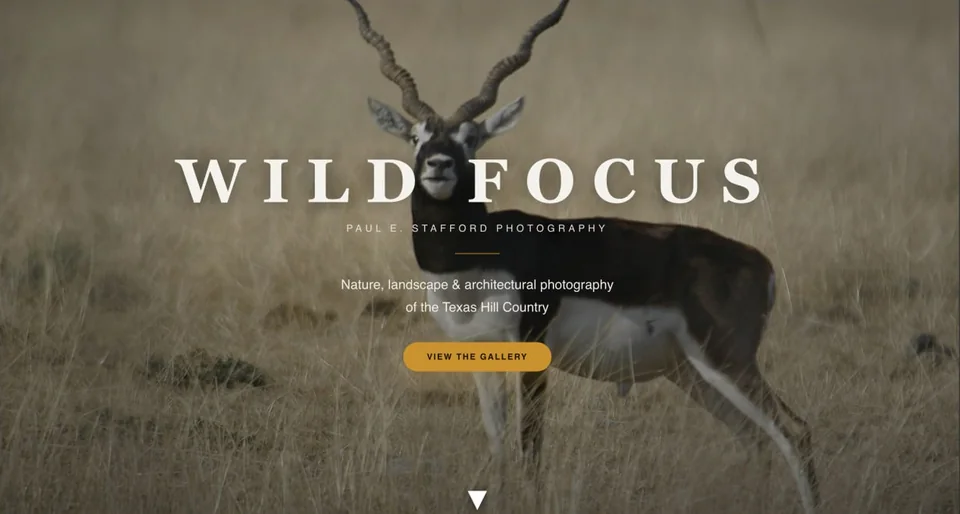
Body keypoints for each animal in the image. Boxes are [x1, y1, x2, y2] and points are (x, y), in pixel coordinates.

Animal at [342, 0, 820, 511]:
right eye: (416, 136)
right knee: (755, 439)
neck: (475, 262)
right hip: (692, 372)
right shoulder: (477, 356)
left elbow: (531, 447)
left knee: (795, 433)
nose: (439, 165)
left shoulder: (530, 350)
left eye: (472, 139)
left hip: (726, 359)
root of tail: (761, 265)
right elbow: (500, 450)